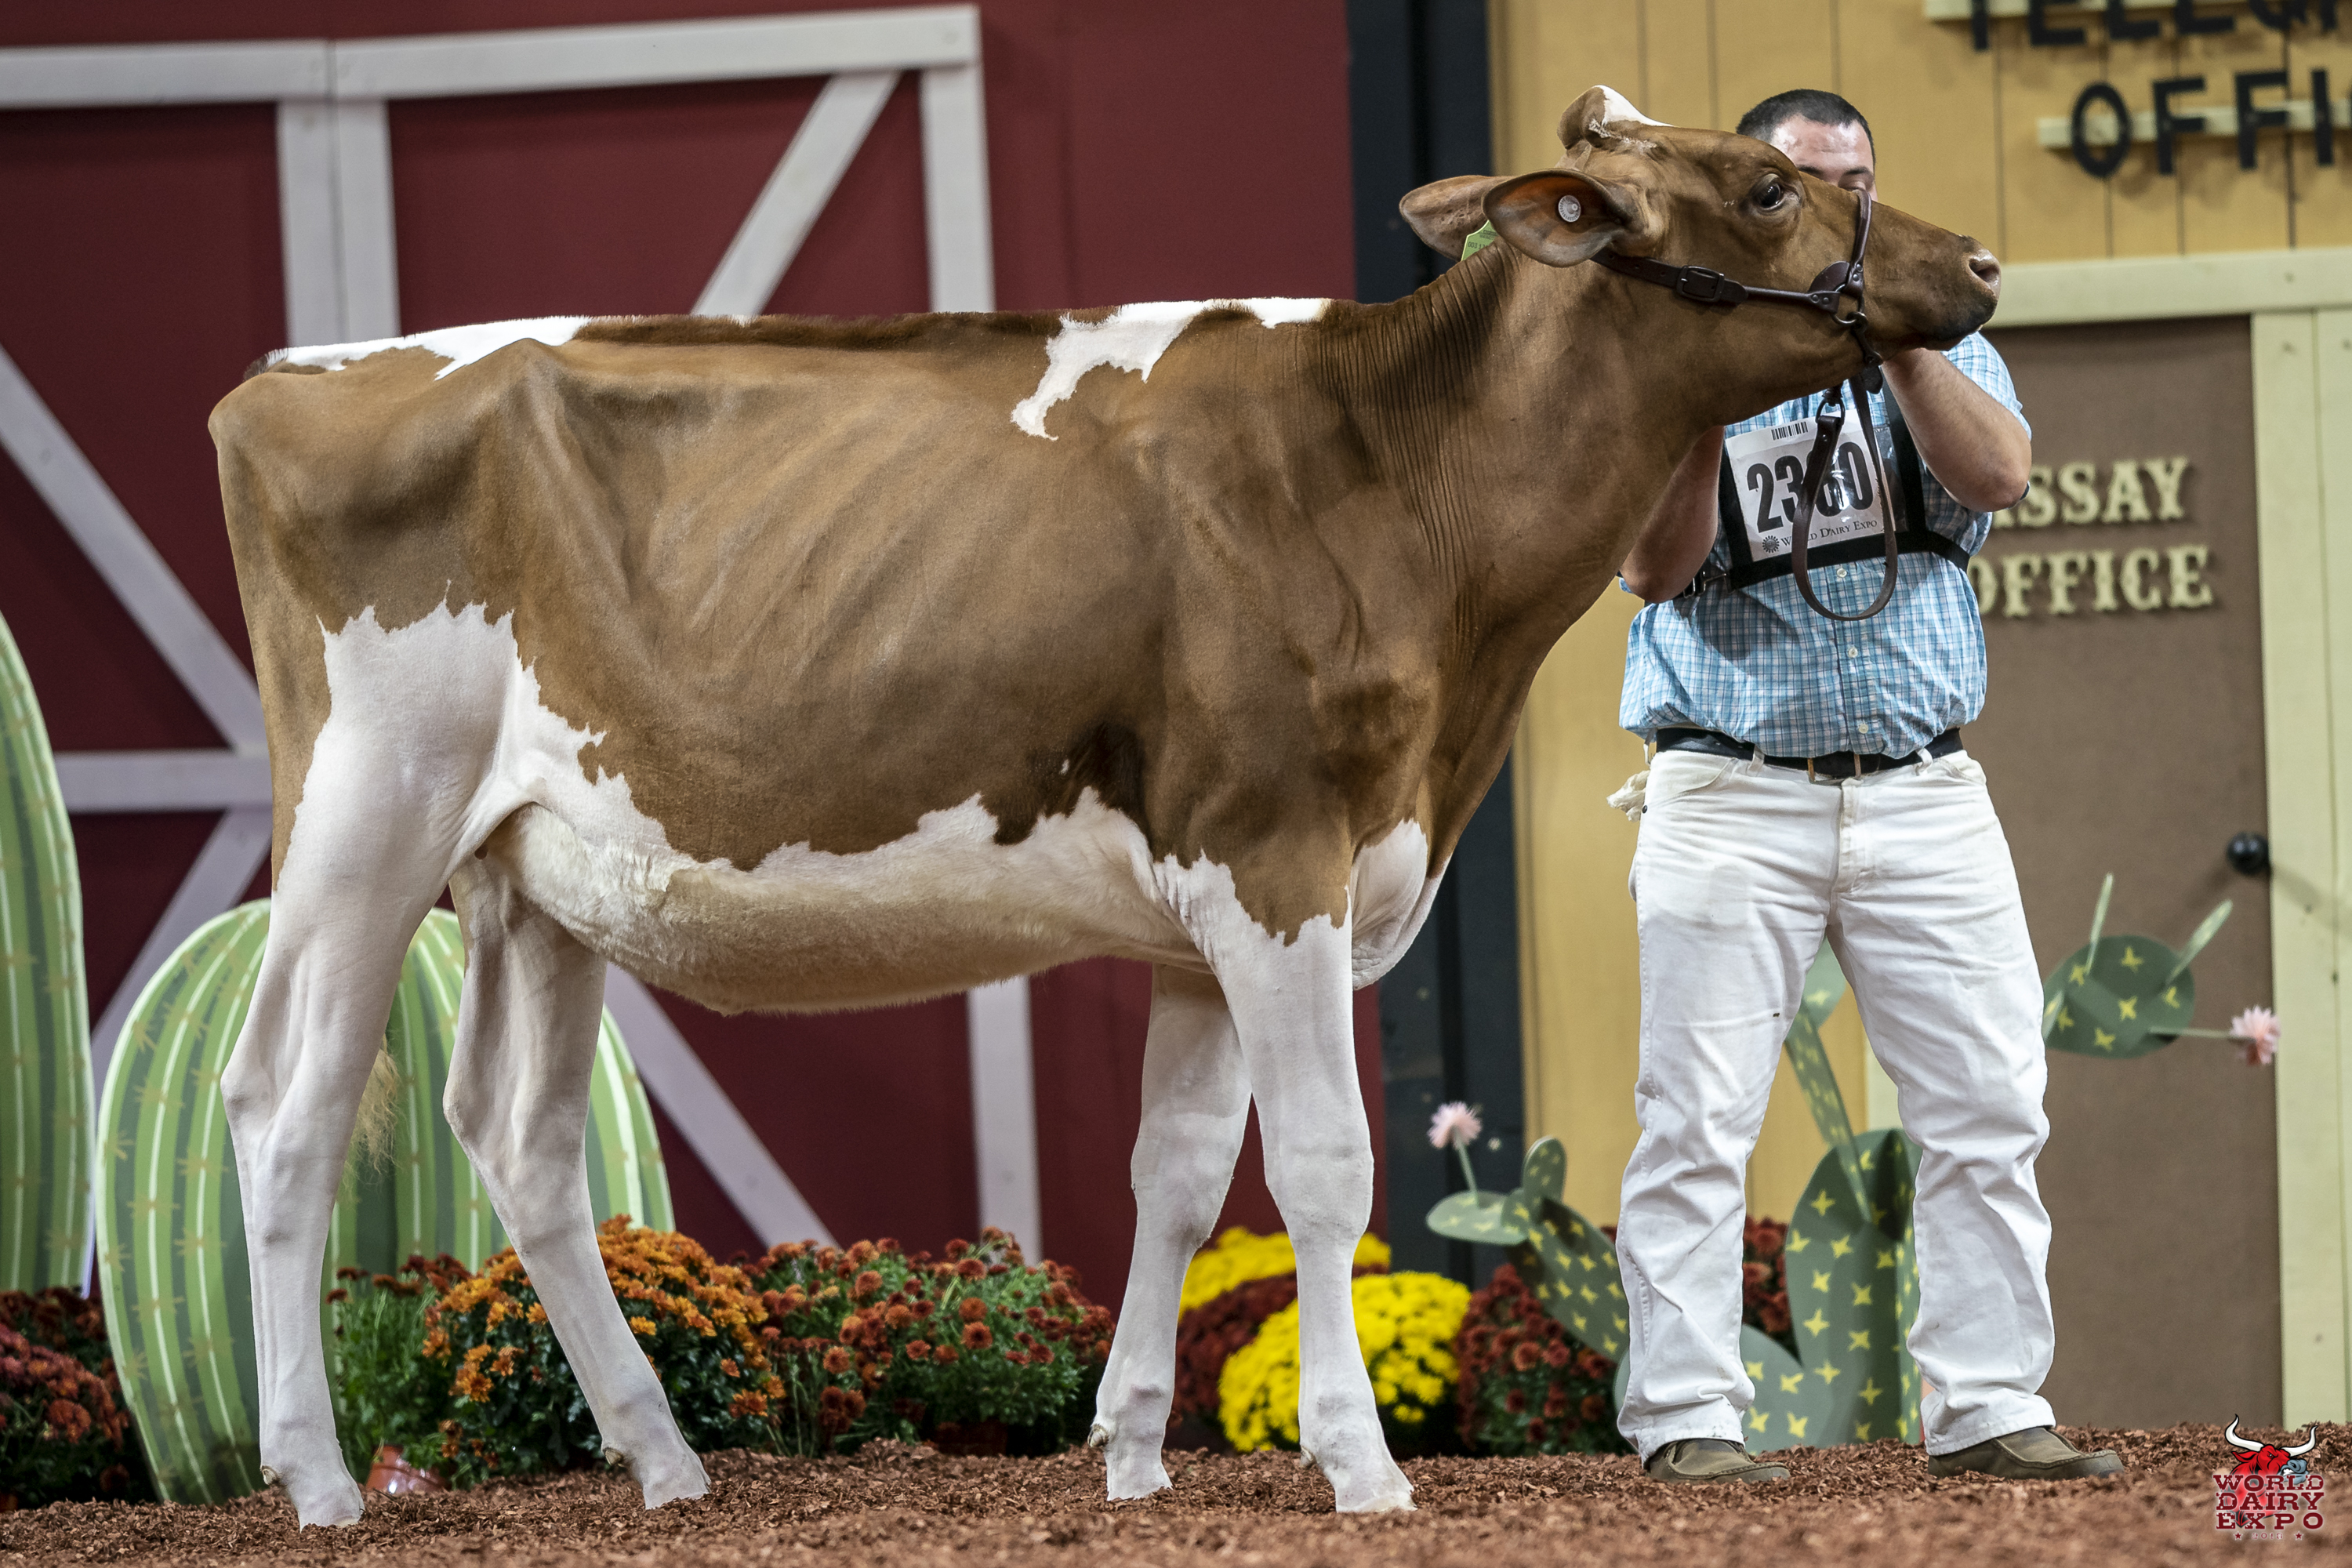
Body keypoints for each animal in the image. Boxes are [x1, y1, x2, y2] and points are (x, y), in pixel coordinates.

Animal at [208, 85, 2000, 1526]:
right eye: (1766, 189)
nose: (1980, 265)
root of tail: (293, 376)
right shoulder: (1279, 851)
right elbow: (1328, 1169)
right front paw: (1360, 1463)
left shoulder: (1204, 918)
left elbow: (1182, 1175)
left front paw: (1133, 1450)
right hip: (366, 820)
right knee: (286, 1105)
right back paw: (315, 1478)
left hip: (535, 878)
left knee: (520, 1137)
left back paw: (661, 1458)